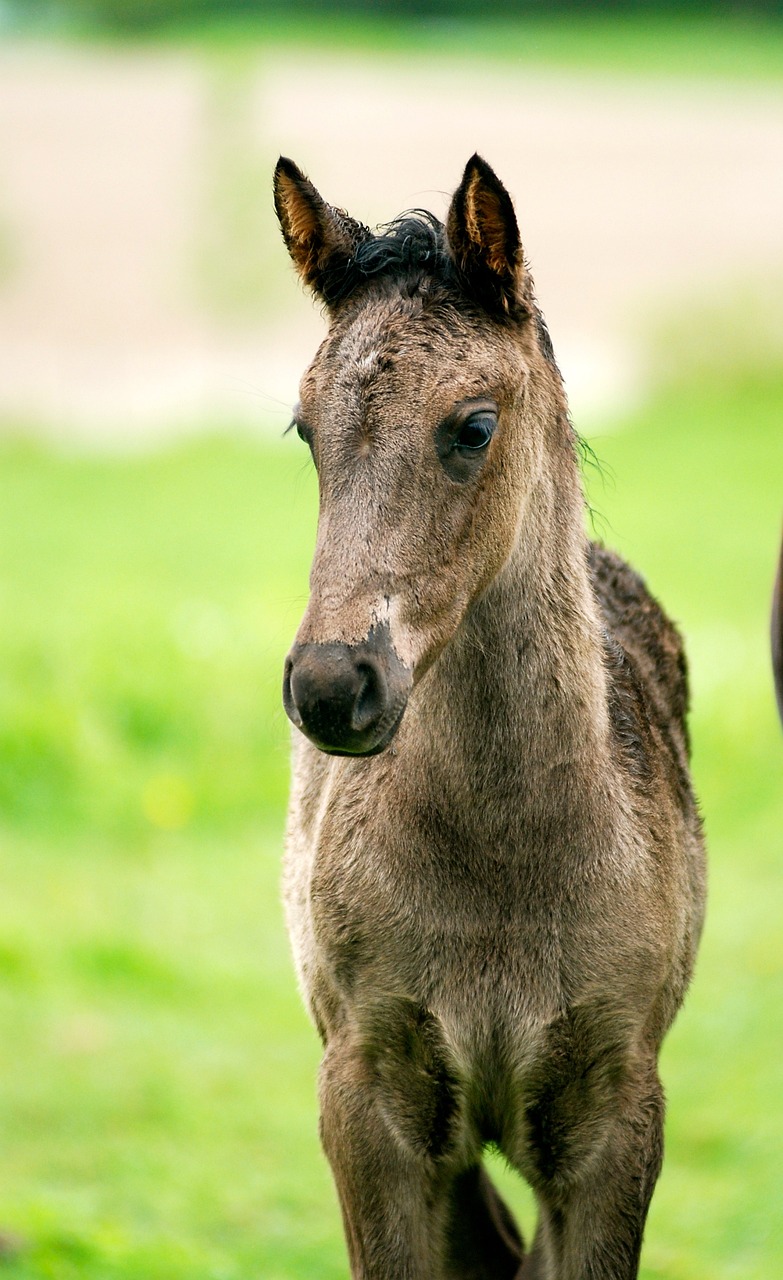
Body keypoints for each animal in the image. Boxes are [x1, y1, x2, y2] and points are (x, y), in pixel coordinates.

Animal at [273, 152, 701, 1280]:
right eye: (306, 428)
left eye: (472, 425)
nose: (331, 685)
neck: (503, 864)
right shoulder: (370, 1101)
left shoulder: (614, 1115)